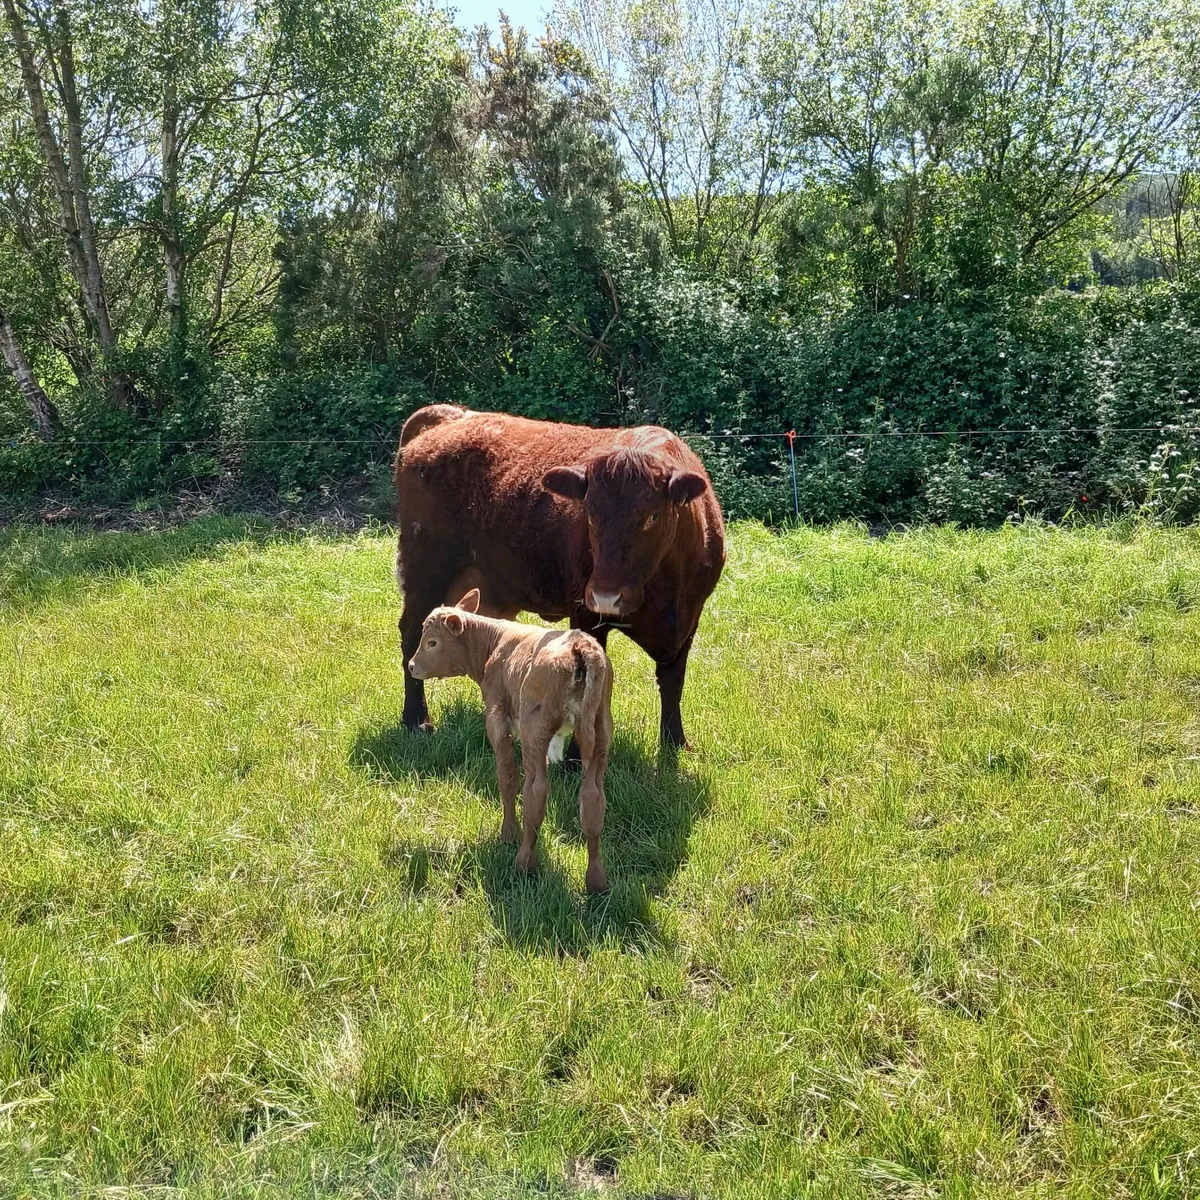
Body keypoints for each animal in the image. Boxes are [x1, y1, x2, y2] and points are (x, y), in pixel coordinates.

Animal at [393, 405, 725, 749]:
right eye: (589, 514)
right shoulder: (586, 615)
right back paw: (416, 719)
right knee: (412, 637)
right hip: (425, 573)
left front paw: (675, 741)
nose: (606, 596)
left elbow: (673, 681)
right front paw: (576, 756)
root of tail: (454, 415)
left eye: (652, 516)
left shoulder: (689, 620)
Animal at [407, 589, 614, 891]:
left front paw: (508, 834)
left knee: (536, 791)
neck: (495, 644)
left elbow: (507, 777)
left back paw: (523, 862)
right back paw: (597, 881)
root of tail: (580, 645)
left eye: (432, 642)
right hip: (600, 730)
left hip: (533, 729)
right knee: (592, 798)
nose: (412, 666)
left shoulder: (497, 719)